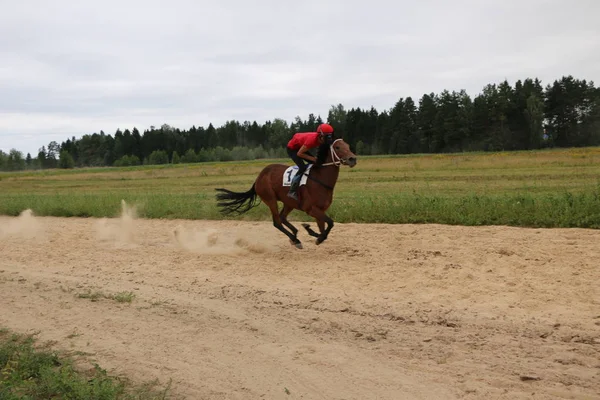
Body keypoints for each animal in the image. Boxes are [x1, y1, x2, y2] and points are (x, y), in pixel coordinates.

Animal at [214, 139, 356, 248]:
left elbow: (324, 228)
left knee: (283, 217)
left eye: (348, 146)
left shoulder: (321, 209)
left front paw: (312, 232)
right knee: (277, 222)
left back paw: (295, 235)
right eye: (337, 147)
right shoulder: (310, 208)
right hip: (270, 199)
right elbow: (330, 223)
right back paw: (295, 239)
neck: (320, 179)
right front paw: (316, 237)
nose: (353, 159)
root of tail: (259, 178)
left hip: (289, 202)